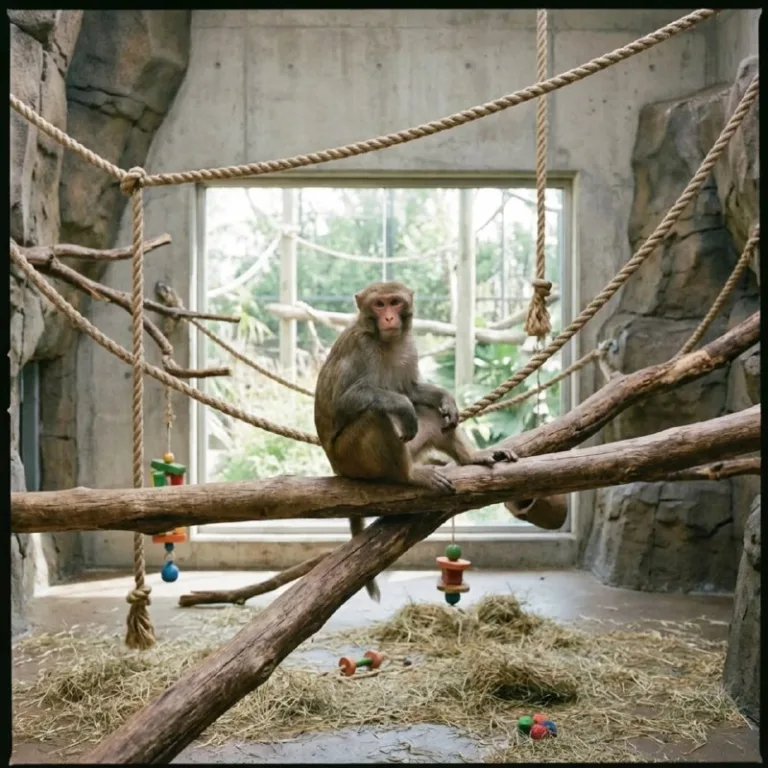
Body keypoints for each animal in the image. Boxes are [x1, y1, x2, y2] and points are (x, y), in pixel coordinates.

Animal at [314, 281, 518, 602]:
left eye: (395, 302)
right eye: (379, 304)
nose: (388, 318)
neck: (385, 341)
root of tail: (337, 469)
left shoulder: (408, 348)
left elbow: (412, 390)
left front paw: (446, 399)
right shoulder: (361, 348)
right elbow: (346, 401)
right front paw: (402, 406)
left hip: (411, 447)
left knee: (432, 416)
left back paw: (470, 457)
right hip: (351, 459)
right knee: (374, 414)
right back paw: (409, 475)